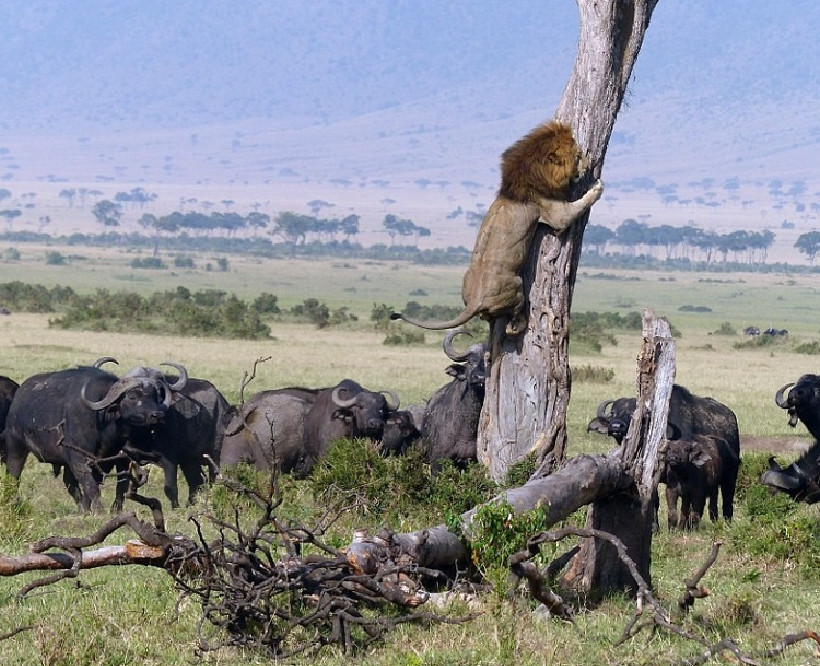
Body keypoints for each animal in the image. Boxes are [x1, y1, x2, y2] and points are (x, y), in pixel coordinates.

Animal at [5, 366, 175, 510]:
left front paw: (88, 509)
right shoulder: (79, 458)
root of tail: (19, 395)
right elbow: (90, 486)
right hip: (15, 447)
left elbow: (97, 485)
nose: (158, 415)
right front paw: (98, 511)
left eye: (155, 397)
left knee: (69, 482)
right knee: (13, 475)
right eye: (132, 396)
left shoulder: (109, 460)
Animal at [390, 119, 604, 332]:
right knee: (512, 322)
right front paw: (597, 187)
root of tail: (475, 301)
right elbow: (578, 206)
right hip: (516, 285)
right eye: (577, 156)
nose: (588, 162)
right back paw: (523, 322)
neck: (530, 174)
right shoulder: (554, 213)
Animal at [588, 384, 740, 520]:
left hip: (731, 475)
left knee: (727, 501)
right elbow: (654, 501)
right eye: (613, 413)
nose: (616, 426)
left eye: (632, 414)